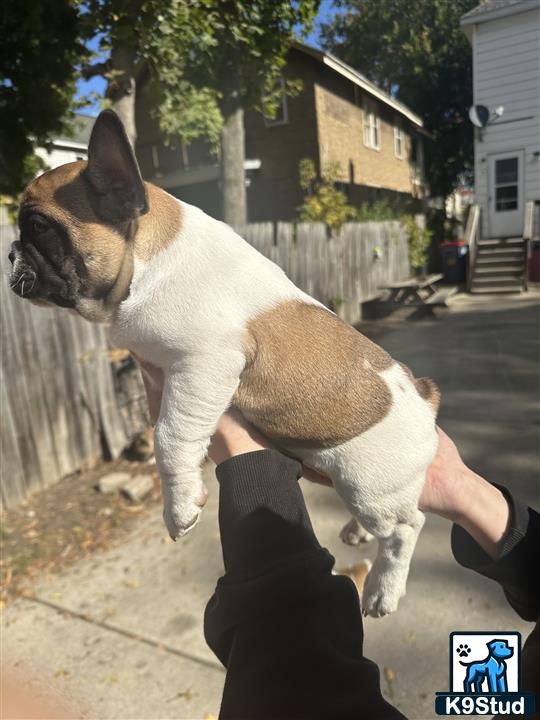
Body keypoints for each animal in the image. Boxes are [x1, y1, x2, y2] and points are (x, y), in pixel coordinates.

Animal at [9, 109, 438, 616]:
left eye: (38, 227)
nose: (10, 252)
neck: (147, 259)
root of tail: (426, 402)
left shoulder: (203, 365)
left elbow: (170, 437)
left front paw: (179, 505)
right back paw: (355, 532)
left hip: (368, 484)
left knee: (405, 528)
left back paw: (382, 588)